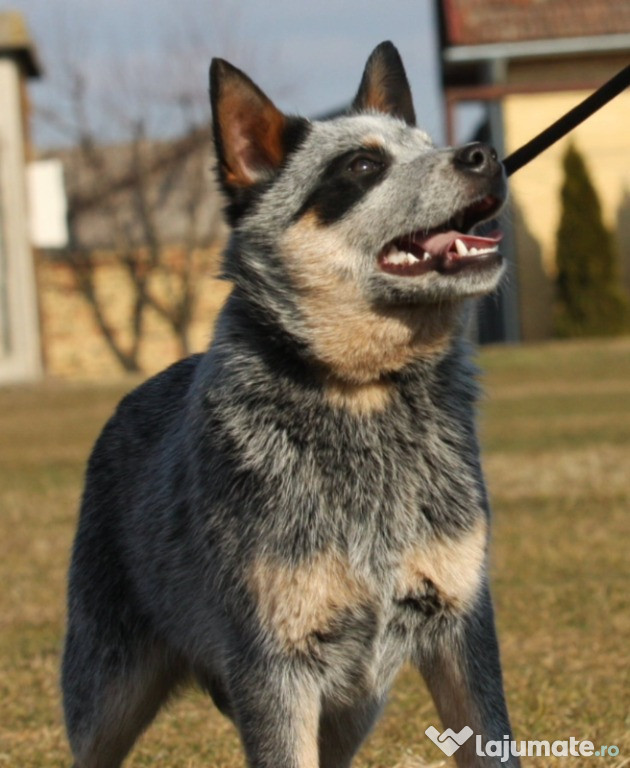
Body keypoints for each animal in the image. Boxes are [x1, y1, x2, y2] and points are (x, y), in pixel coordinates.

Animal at [61, 42, 520, 768]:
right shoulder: (274, 664)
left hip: (353, 702)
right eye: (362, 165)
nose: (483, 154)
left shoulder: (461, 625)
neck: (362, 398)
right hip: (106, 690)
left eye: (428, 145)